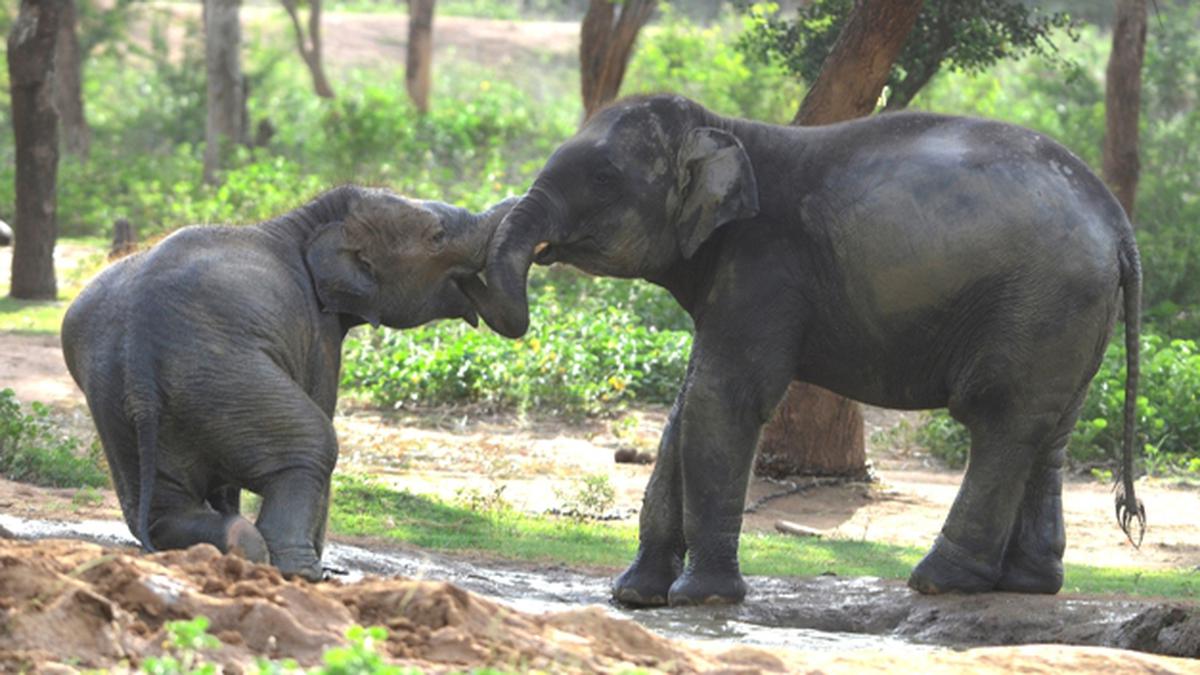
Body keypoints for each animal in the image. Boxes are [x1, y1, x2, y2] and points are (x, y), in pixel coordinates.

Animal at [62, 186, 515, 580]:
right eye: (438, 236)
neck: (309, 219)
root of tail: (140, 348)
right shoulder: (318, 332)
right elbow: (322, 410)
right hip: (228, 378)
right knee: (312, 445)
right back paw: (297, 569)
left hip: (122, 401)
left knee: (164, 506)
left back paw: (230, 541)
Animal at [460, 94, 1144, 607]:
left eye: (603, 178)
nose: (470, 278)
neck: (726, 130)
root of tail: (1119, 227)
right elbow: (689, 406)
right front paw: (635, 596)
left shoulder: (766, 263)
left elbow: (724, 399)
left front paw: (703, 599)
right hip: (1069, 314)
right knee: (1050, 430)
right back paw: (1027, 583)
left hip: (1041, 299)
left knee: (1000, 422)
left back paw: (940, 581)